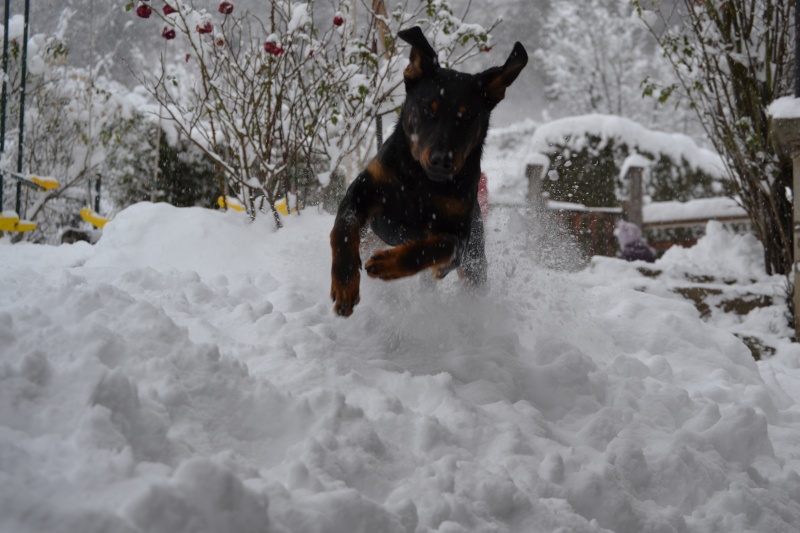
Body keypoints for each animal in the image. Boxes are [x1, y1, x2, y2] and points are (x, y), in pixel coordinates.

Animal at [328, 26, 528, 316]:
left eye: (467, 116)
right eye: (427, 109)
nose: (441, 160)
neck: (420, 181)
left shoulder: (459, 237)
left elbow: (434, 248)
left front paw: (388, 265)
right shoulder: (362, 192)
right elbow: (342, 230)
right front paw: (345, 284)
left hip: (475, 262)